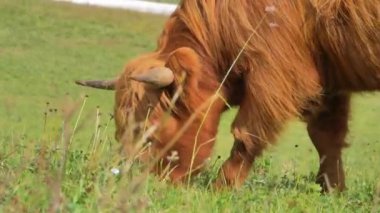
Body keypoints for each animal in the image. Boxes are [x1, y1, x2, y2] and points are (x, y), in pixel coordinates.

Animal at [77, 0, 380, 192]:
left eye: (149, 133)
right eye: (120, 133)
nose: (134, 186)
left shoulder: (276, 75)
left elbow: (247, 135)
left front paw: (222, 187)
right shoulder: (327, 80)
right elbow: (327, 138)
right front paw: (333, 190)